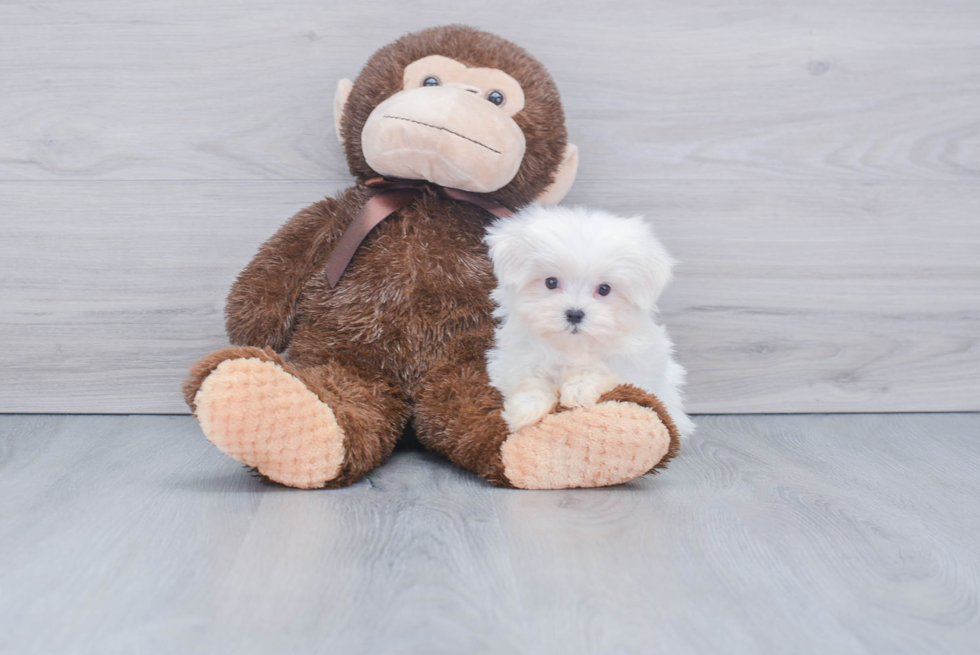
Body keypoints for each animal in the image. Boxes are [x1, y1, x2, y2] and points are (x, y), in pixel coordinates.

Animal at [486, 206, 692, 436]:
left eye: (604, 289)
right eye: (551, 282)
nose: (575, 314)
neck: (574, 346)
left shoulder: (636, 367)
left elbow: (606, 372)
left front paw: (579, 388)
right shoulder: (515, 359)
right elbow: (529, 379)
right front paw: (526, 408)